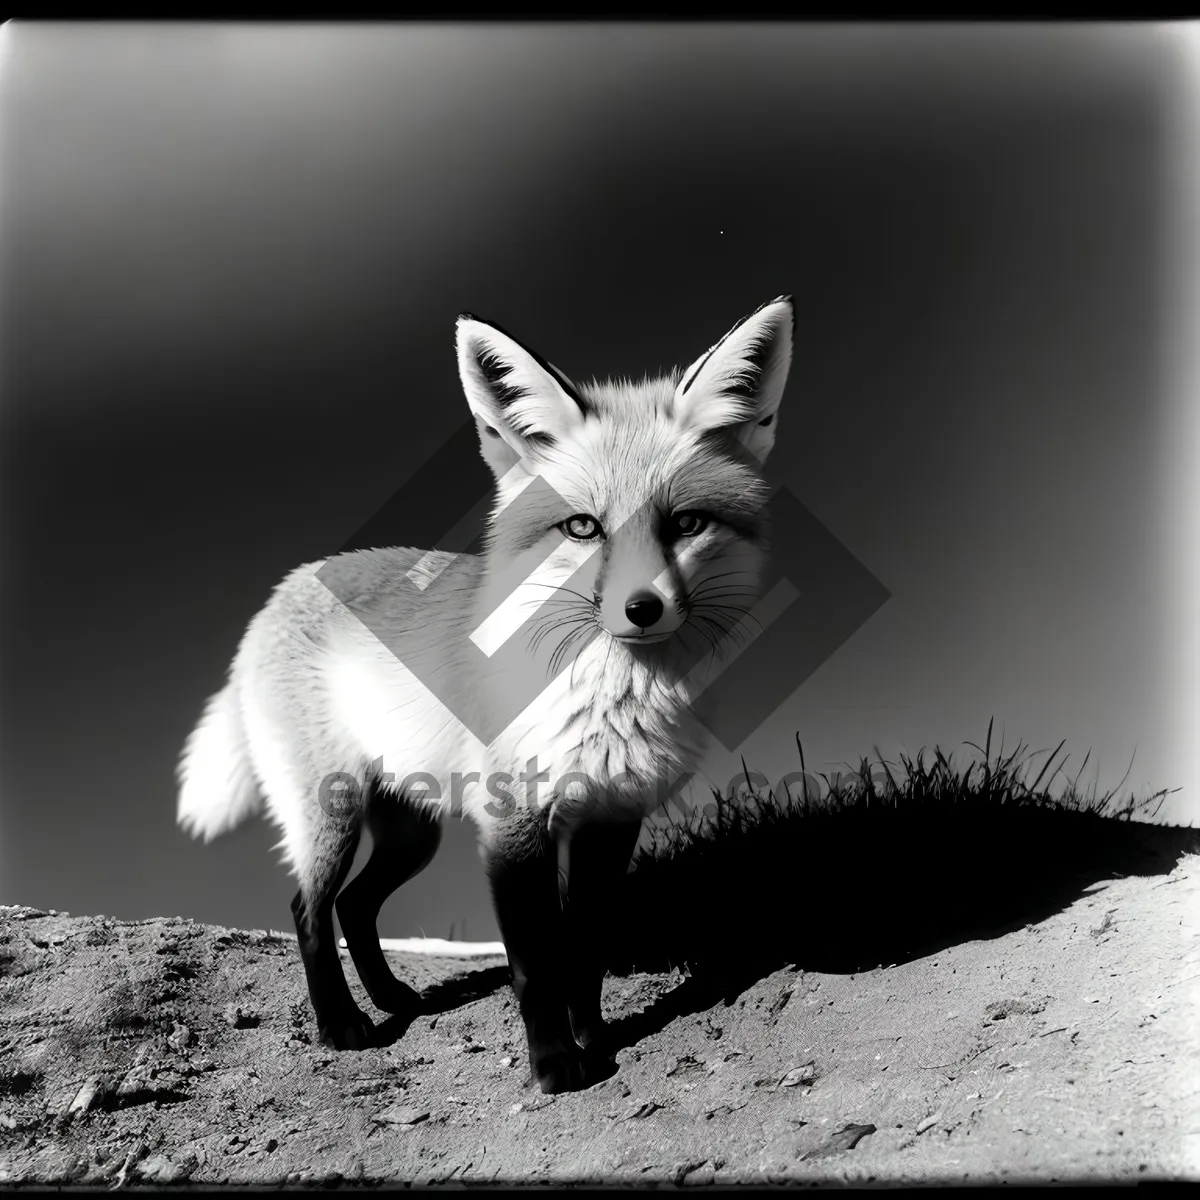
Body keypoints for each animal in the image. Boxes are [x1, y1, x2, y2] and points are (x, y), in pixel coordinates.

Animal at [177, 295, 792, 1094]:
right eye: (583, 527)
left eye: (685, 523)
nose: (642, 608)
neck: (612, 703)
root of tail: (291, 584)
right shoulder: (512, 824)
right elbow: (536, 965)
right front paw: (555, 1066)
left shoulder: (610, 817)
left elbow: (584, 952)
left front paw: (597, 1044)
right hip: (331, 812)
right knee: (308, 908)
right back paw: (343, 1027)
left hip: (413, 831)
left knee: (355, 905)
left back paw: (392, 998)